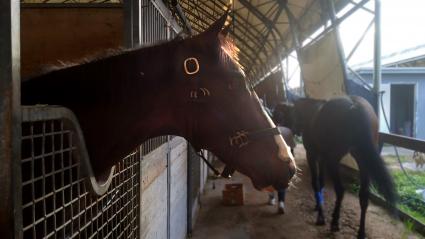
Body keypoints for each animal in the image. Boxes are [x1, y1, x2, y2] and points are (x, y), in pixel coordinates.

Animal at [274, 95, 396, 239]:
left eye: (280, 115)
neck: (309, 112)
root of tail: (355, 105)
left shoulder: (312, 155)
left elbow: (316, 183)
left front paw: (321, 216)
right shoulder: (322, 157)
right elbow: (321, 183)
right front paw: (318, 205)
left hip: (334, 160)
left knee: (340, 190)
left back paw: (335, 222)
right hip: (362, 160)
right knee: (364, 196)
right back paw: (361, 232)